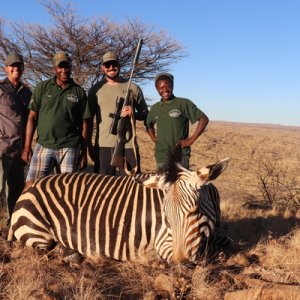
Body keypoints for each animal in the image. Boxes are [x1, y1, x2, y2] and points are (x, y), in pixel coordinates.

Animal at [7, 158, 229, 264]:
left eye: (194, 212)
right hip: (38, 233)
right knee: (47, 248)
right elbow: (211, 255)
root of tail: (32, 185)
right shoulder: (165, 242)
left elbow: (223, 244)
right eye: (166, 217)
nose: (178, 262)